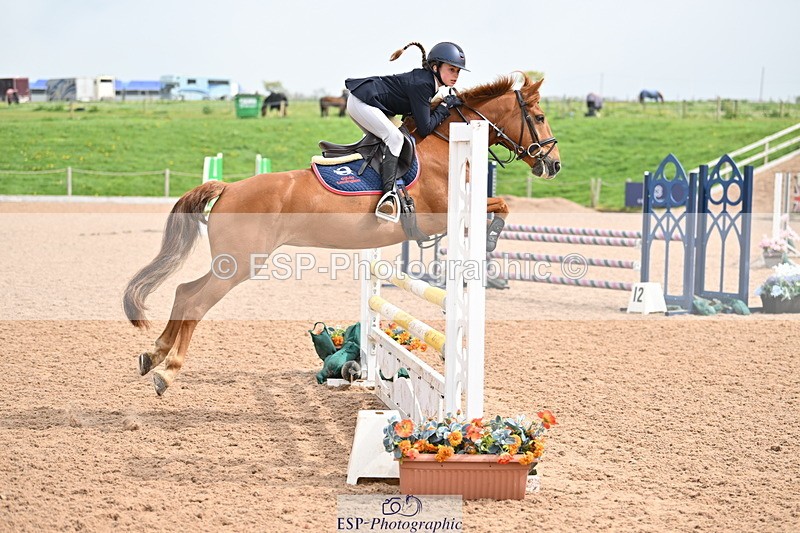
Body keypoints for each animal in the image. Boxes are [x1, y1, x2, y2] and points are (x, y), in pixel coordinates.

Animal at [123, 73, 561, 396]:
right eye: (539, 117)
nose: (553, 164)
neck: (445, 146)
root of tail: (229, 187)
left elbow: (500, 205)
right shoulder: (439, 217)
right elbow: (500, 205)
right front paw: (488, 242)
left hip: (232, 263)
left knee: (184, 292)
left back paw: (152, 356)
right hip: (239, 265)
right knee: (195, 301)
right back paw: (167, 372)